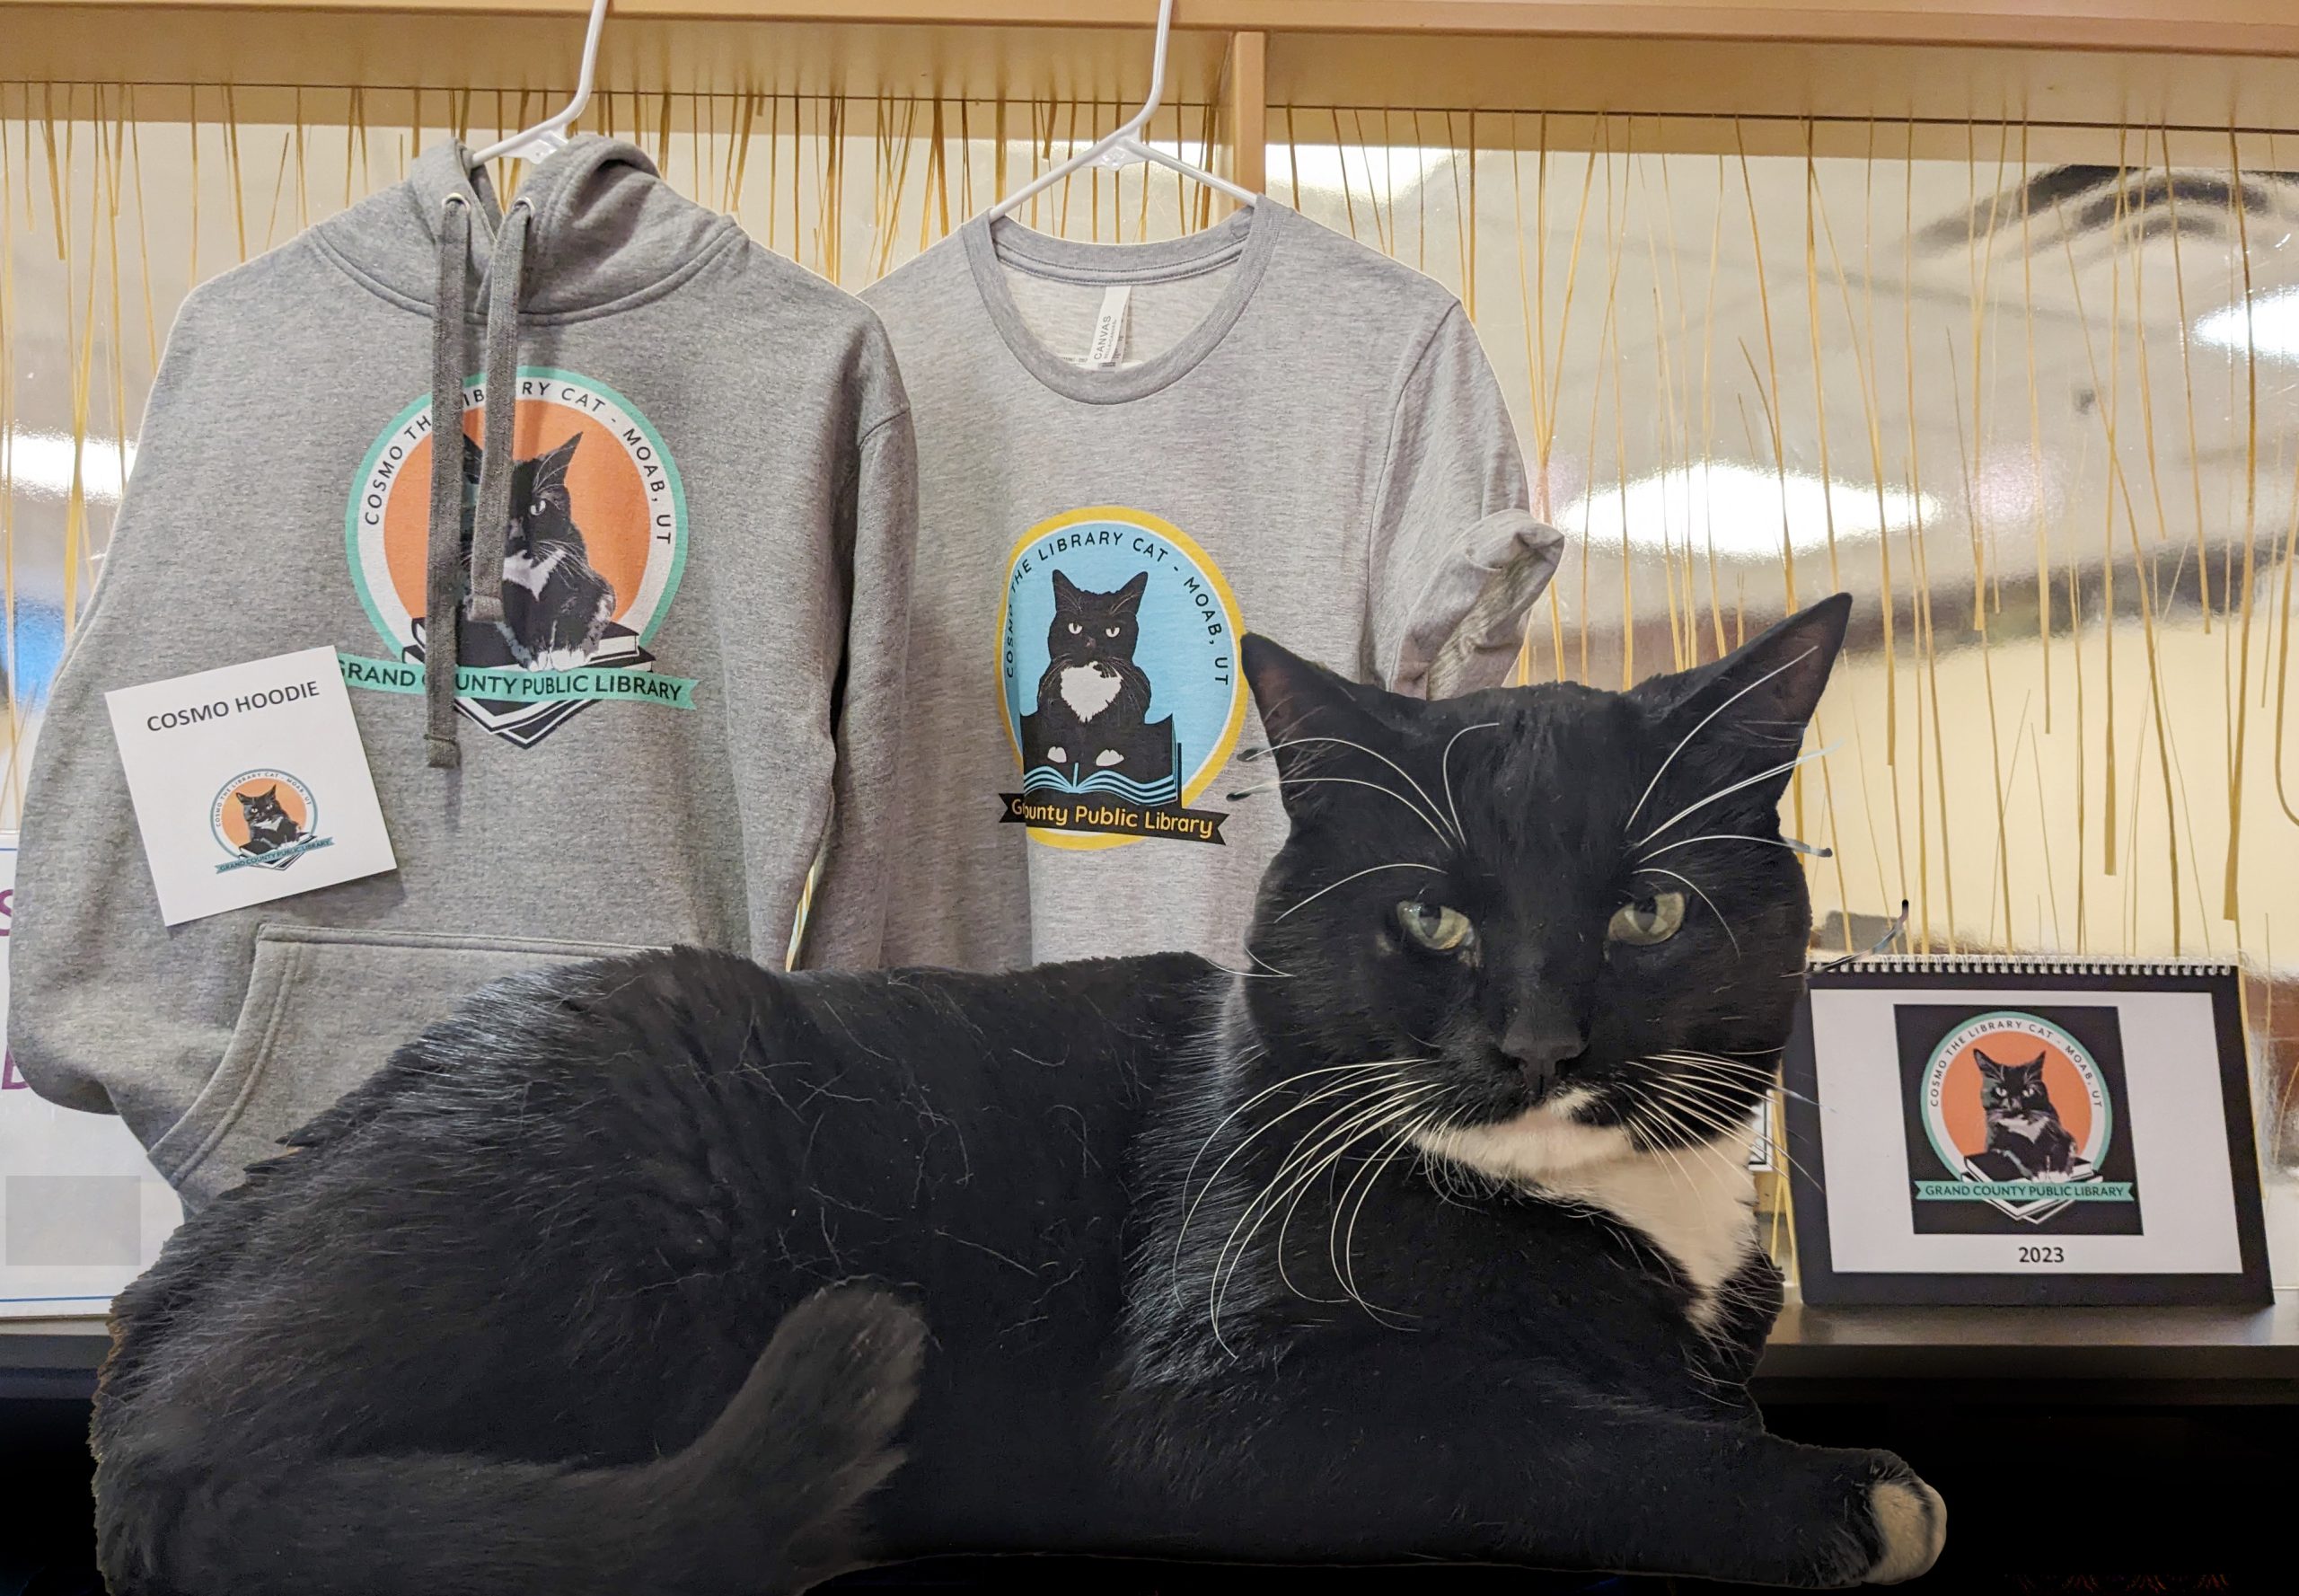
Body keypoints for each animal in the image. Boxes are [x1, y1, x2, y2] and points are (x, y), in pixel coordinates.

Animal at [93, 597, 1940, 1596]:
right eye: (1435, 916)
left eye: (1646, 913)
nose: (1543, 1038)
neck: (1614, 1209)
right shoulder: (1211, 1398)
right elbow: (1519, 1421)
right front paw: (1829, 1488)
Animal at [1020, 568, 1176, 805]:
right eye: (1075, 627)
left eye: (1112, 631)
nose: (1091, 644)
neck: (1088, 685)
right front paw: (1058, 751)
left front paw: (1107, 755)